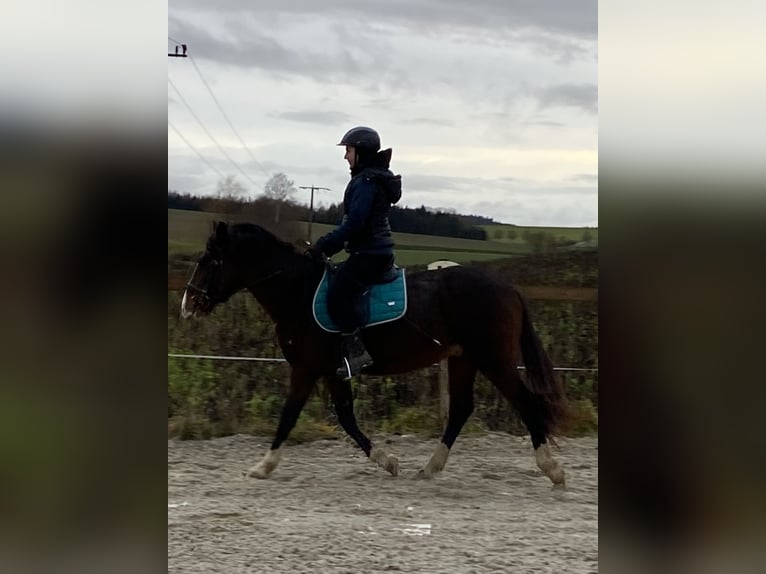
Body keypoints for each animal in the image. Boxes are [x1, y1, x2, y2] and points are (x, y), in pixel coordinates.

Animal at [177, 220, 568, 486]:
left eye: (210, 260)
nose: (187, 304)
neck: (298, 293)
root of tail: (509, 288)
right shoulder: (332, 370)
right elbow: (347, 418)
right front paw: (388, 461)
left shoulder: (306, 368)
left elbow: (288, 416)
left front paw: (263, 467)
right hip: (464, 358)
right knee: (460, 409)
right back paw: (429, 468)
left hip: (492, 358)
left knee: (526, 402)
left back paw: (552, 470)